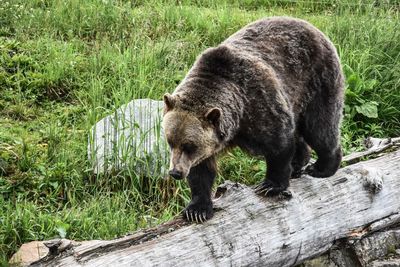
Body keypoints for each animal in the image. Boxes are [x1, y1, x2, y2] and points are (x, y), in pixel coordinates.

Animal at [162, 15, 344, 223]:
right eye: (170, 142)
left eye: (190, 145)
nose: (175, 172)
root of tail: (311, 26)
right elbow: (201, 171)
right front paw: (197, 209)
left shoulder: (258, 104)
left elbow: (279, 143)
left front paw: (270, 185)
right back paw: (298, 164)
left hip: (316, 80)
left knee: (320, 127)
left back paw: (322, 167)